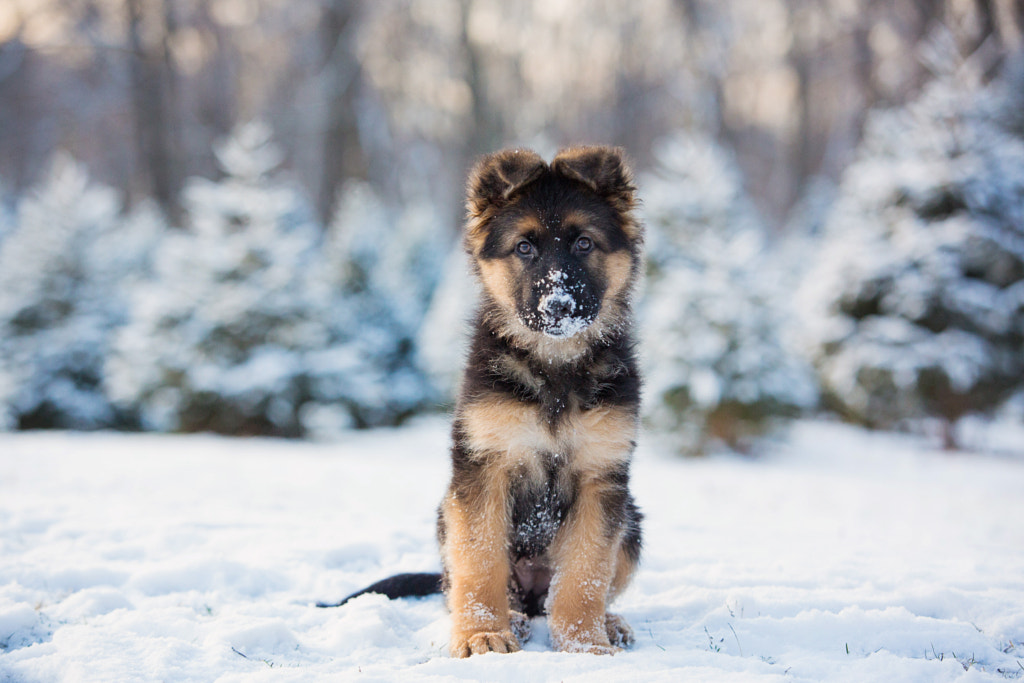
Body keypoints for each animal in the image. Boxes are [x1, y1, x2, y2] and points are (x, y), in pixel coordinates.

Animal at [317, 147, 638, 659]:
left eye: (584, 244)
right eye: (524, 248)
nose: (558, 307)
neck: (554, 369)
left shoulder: (601, 477)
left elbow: (586, 571)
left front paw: (585, 643)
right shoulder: (483, 467)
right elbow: (480, 560)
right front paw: (482, 634)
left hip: (633, 524)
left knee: (573, 589)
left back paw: (608, 623)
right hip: (446, 515)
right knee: (469, 586)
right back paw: (513, 621)